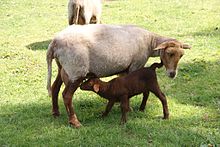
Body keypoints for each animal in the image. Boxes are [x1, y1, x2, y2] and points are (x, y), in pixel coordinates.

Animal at [46, 24, 191, 127]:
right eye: (170, 53)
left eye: (181, 55)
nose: (172, 74)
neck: (150, 42)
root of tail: (54, 43)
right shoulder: (135, 65)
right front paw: (131, 109)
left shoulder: (124, 68)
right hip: (76, 70)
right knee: (67, 95)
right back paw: (74, 122)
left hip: (63, 67)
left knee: (55, 87)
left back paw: (55, 112)